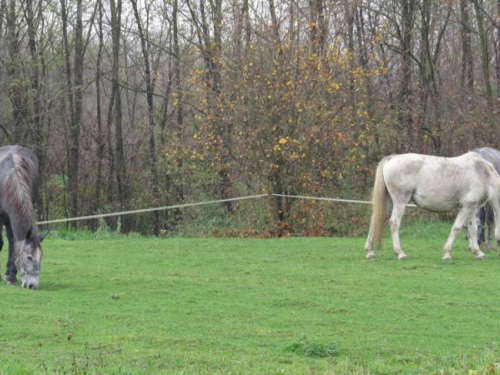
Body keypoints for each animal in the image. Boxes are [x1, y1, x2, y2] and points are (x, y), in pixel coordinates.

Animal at [0, 145, 44, 290]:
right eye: (29, 257)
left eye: (41, 257)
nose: (32, 285)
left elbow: (14, 244)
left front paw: (11, 276)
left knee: (11, 239)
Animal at [364, 153, 500, 262]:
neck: (484, 174)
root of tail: (391, 158)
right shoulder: (466, 208)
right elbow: (456, 228)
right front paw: (446, 253)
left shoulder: (472, 208)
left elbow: (473, 229)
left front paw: (478, 252)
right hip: (399, 202)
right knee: (394, 223)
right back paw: (400, 253)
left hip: (388, 202)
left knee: (374, 221)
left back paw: (370, 252)